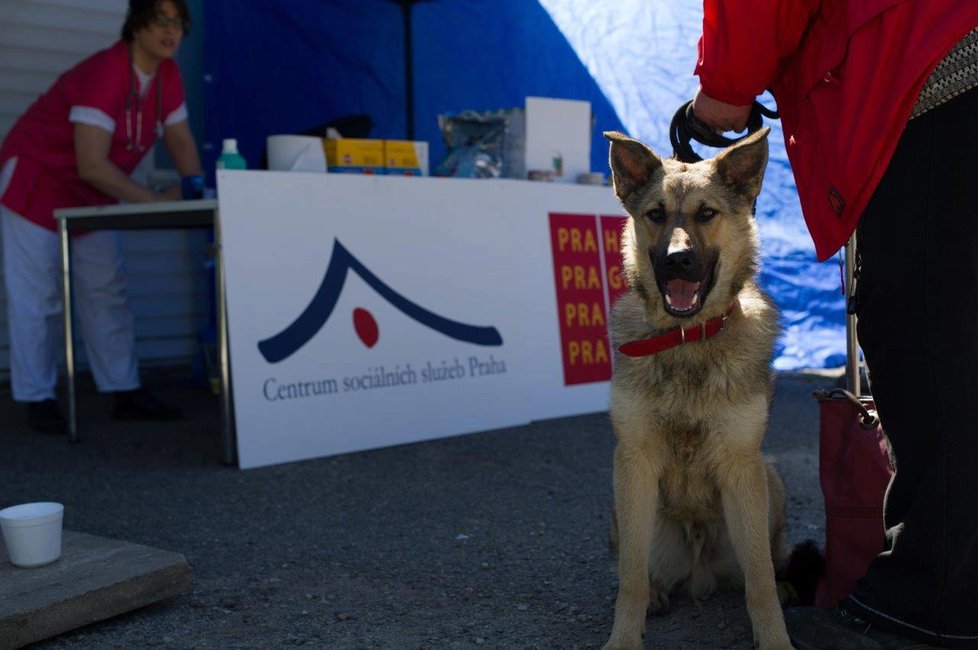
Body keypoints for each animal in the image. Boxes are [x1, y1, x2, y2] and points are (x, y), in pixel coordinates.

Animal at [600, 128, 796, 648]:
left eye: (707, 213)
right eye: (656, 215)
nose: (677, 262)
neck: (688, 339)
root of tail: (699, 569)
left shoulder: (741, 464)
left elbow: (759, 576)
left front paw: (775, 638)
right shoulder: (634, 461)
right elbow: (629, 574)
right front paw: (624, 637)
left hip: (769, 479)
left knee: (771, 556)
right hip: (621, 502)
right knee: (637, 566)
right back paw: (658, 593)